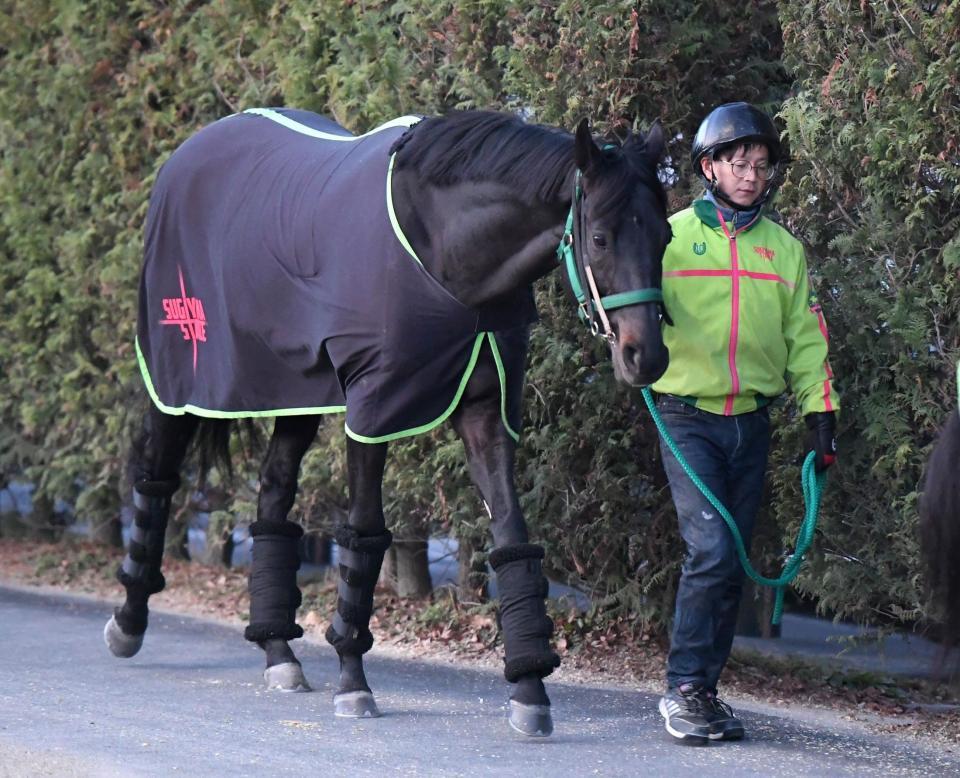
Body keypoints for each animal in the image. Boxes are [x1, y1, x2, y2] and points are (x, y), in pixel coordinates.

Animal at [99, 107, 668, 732]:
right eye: (600, 237)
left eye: (664, 236)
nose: (646, 357)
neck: (444, 250)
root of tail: (185, 156)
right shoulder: (374, 412)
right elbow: (365, 536)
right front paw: (353, 681)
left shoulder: (486, 414)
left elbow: (511, 537)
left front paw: (530, 691)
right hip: (178, 379)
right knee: (157, 476)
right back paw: (128, 625)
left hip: (297, 392)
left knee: (273, 493)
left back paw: (279, 653)